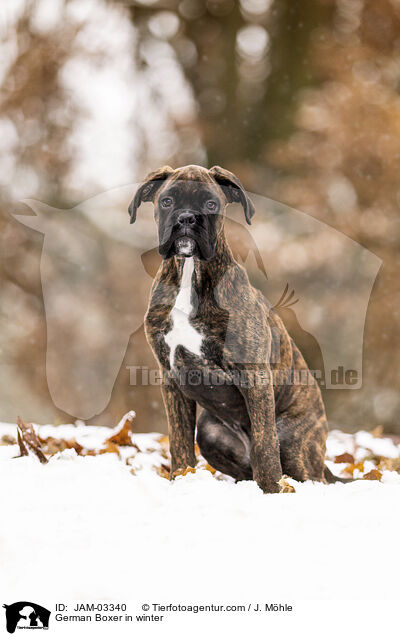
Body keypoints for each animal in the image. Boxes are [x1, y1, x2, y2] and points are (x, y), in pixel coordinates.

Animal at [129, 164, 338, 492]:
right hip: (210, 432)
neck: (190, 274)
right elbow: (179, 440)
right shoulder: (170, 378)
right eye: (167, 201)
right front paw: (182, 479)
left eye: (211, 204)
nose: (186, 218)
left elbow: (265, 445)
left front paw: (272, 490)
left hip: (294, 442)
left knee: (306, 473)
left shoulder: (254, 375)